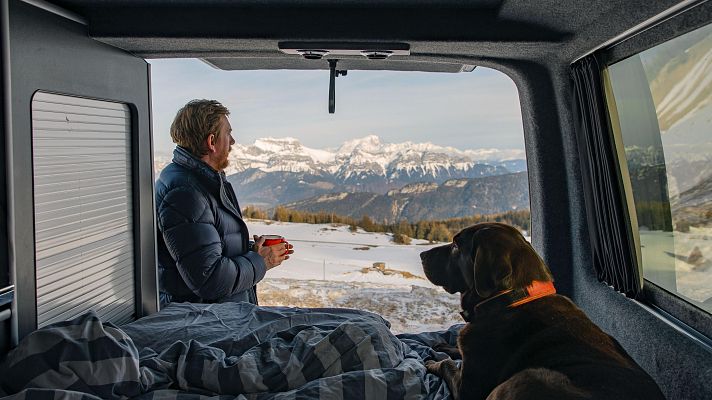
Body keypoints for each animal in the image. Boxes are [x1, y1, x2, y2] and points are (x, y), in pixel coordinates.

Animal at [420, 223, 664, 398]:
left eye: (455, 245)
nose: (422, 255)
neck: (510, 299)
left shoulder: (468, 390)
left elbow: (448, 364)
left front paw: (432, 361)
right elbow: (456, 353)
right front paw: (445, 346)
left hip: (525, 378)